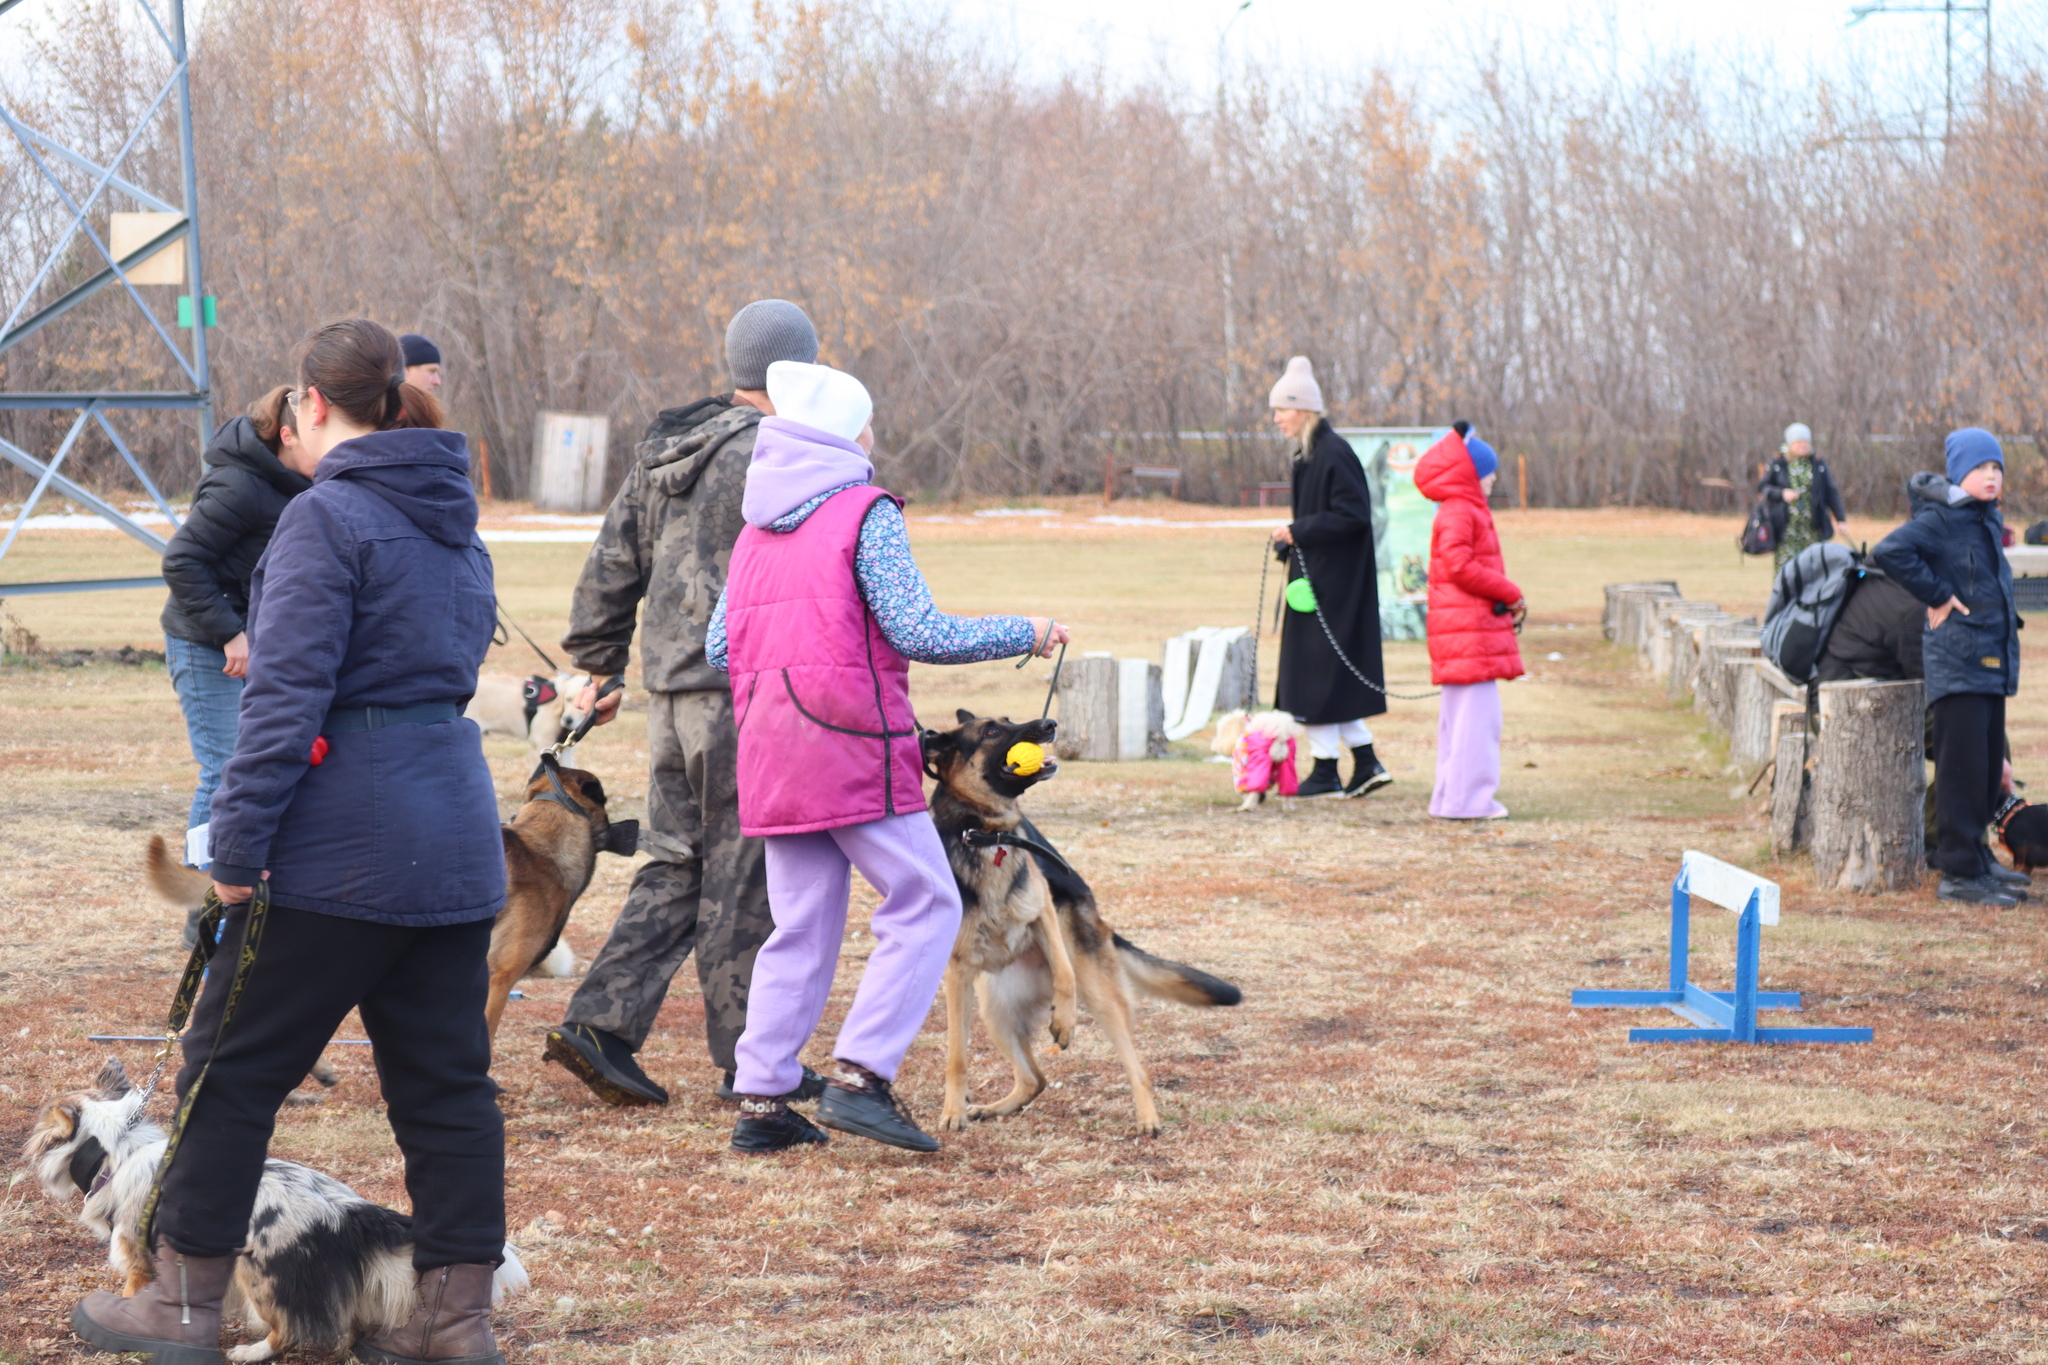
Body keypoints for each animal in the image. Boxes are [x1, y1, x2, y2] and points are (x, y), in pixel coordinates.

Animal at [921, 712, 1236, 1137]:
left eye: (1006, 720)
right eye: (991, 730)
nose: (1049, 723)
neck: (984, 834)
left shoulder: (1044, 910)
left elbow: (1064, 972)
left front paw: (1066, 1021)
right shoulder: (956, 975)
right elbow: (956, 1054)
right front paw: (953, 1110)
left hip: (1099, 993)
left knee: (1136, 1067)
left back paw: (1147, 1117)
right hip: (993, 1009)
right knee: (1034, 1079)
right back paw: (995, 1107)